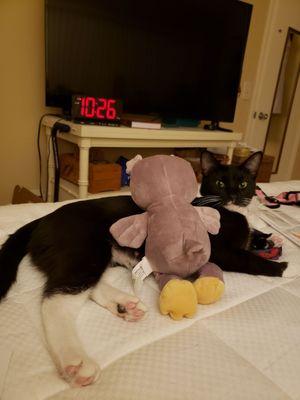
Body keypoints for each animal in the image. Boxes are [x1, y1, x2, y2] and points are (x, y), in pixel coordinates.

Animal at [0, 152, 288, 386]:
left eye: (243, 183)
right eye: (219, 183)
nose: (233, 195)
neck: (227, 212)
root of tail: (44, 219)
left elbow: (252, 238)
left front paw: (270, 238)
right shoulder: (215, 249)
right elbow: (246, 258)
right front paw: (281, 267)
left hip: (96, 254)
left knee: (77, 284)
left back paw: (125, 304)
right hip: (83, 247)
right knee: (57, 299)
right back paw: (77, 361)